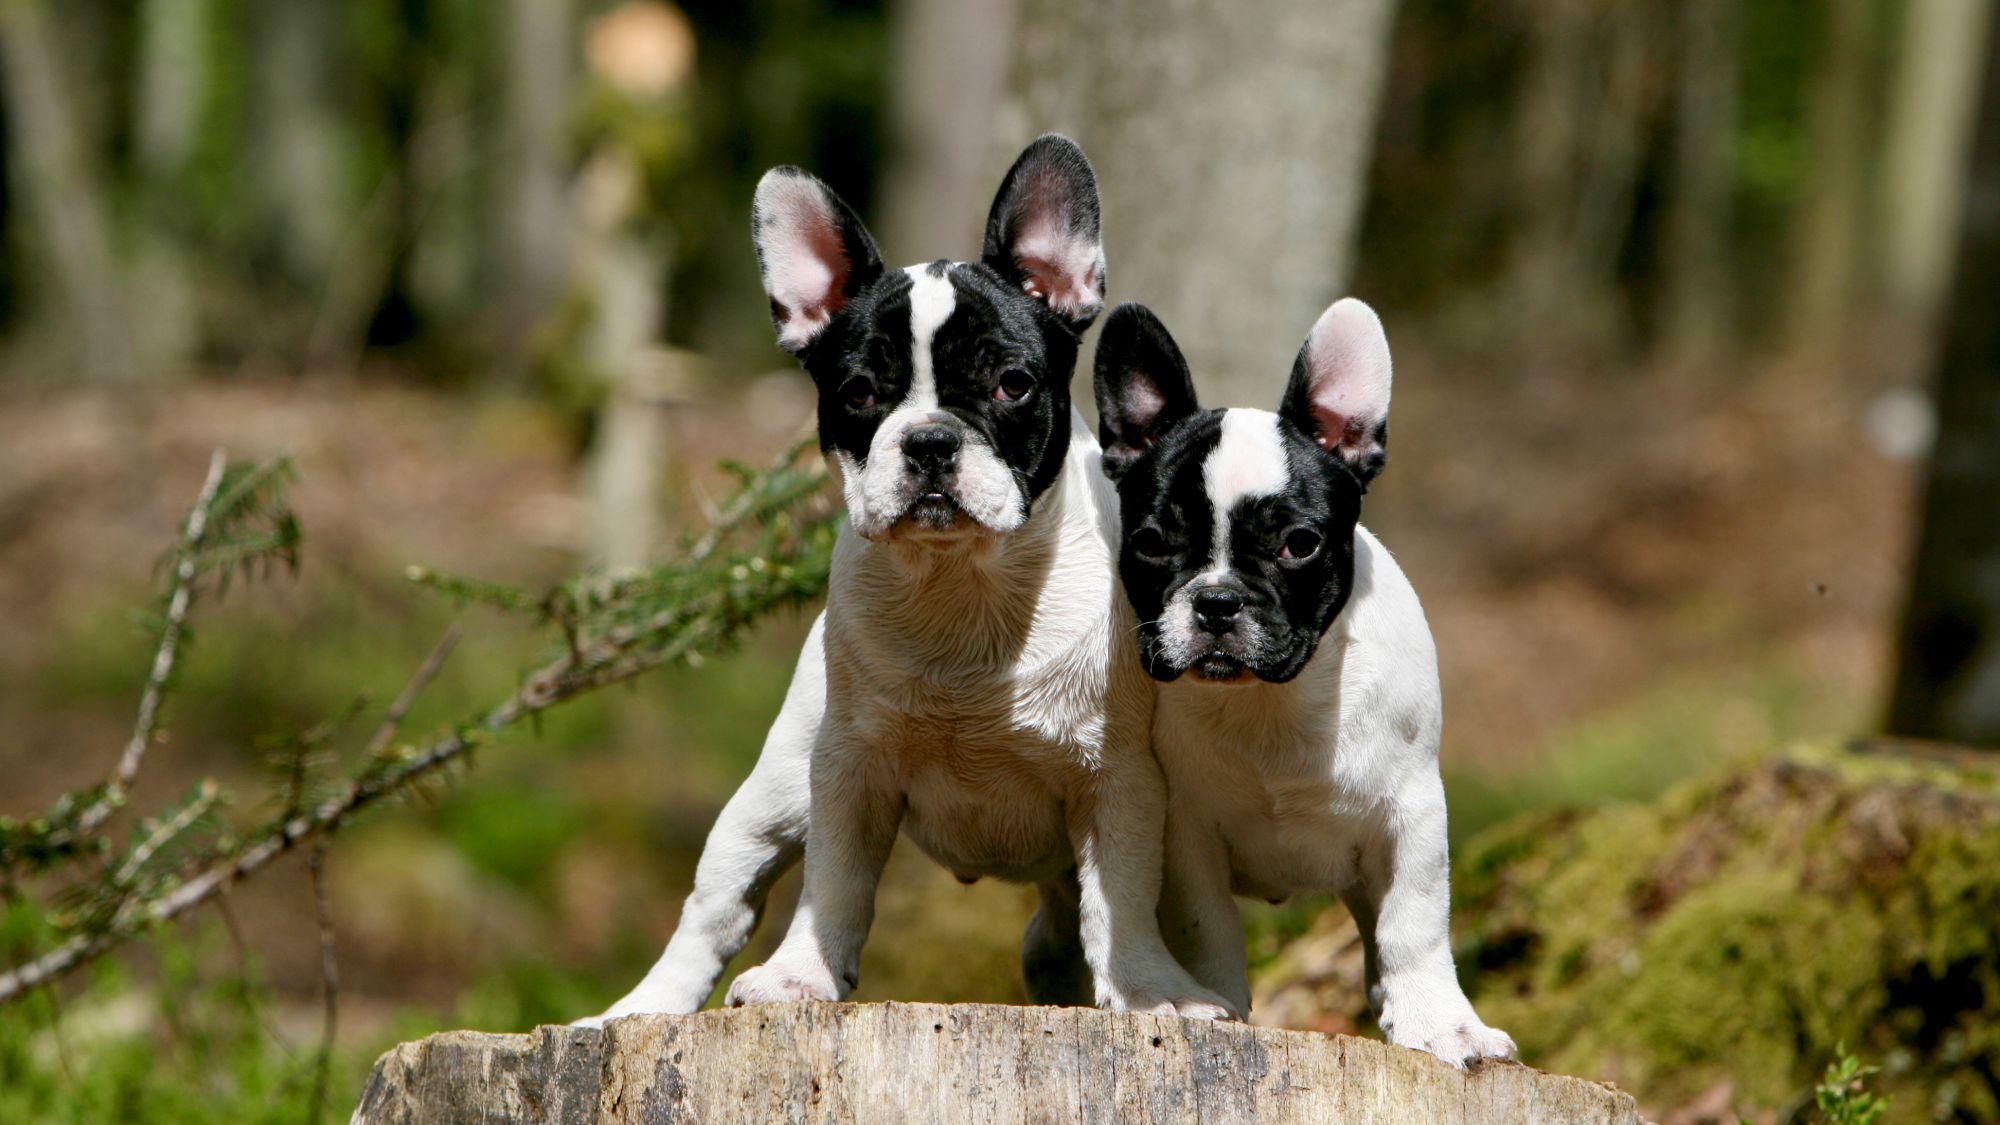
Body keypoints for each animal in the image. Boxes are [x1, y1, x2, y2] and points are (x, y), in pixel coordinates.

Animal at [580, 136, 1232, 1020]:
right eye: (858, 392)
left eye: (1011, 383)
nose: (928, 439)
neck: (962, 582)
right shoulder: (849, 766)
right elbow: (835, 881)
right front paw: (801, 974)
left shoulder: (1120, 779)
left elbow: (1121, 897)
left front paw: (1150, 989)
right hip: (771, 792)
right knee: (715, 905)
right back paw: (644, 1007)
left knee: (1061, 924)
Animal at [1096, 296, 1512, 1056]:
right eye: (1149, 542)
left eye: (1299, 543)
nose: (1217, 600)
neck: (1275, 701)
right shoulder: (1188, 834)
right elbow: (1209, 927)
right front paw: (1218, 1006)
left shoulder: (1413, 813)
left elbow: (1414, 921)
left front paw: (1441, 1025)